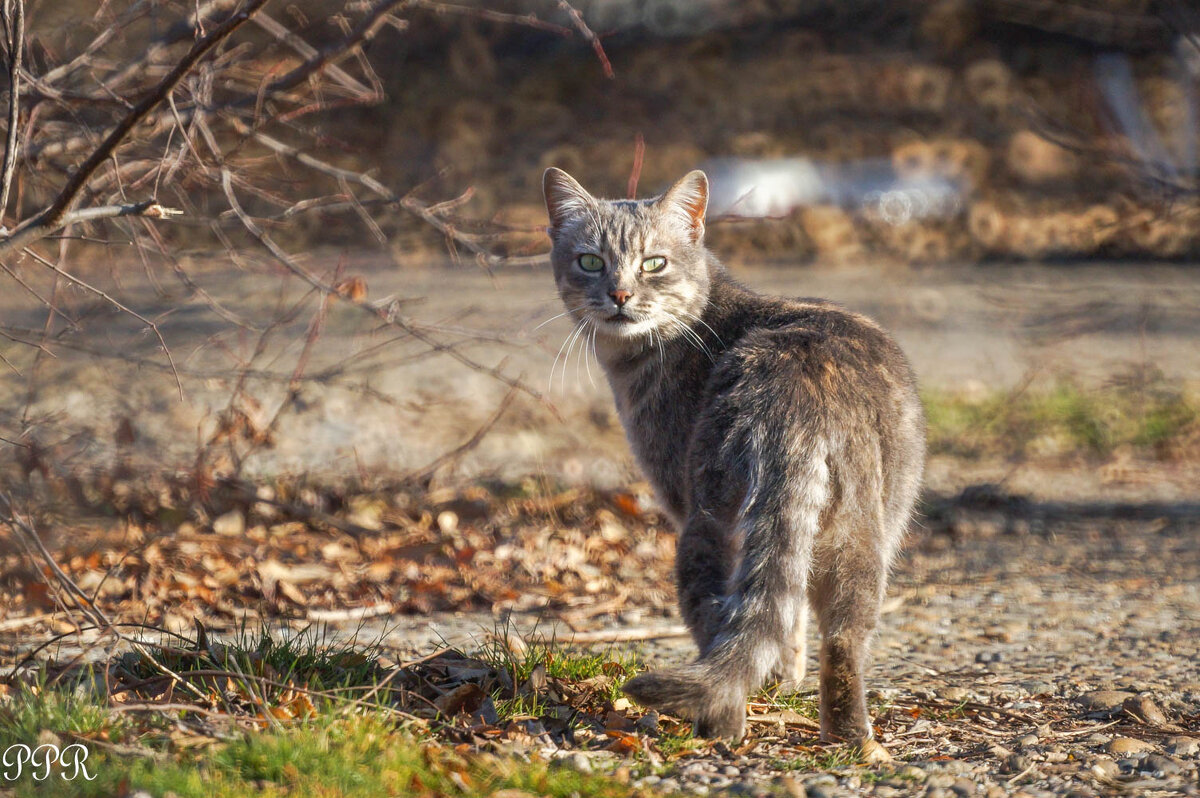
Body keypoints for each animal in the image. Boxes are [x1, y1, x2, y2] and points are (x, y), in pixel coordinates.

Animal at [544, 164, 926, 758]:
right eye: (590, 261)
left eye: (654, 262)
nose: (620, 293)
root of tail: (795, 386)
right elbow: (789, 619)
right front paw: (782, 680)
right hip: (862, 534)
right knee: (841, 637)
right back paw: (852, 743)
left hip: (706, 526)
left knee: (716, 624)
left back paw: (721, 728)